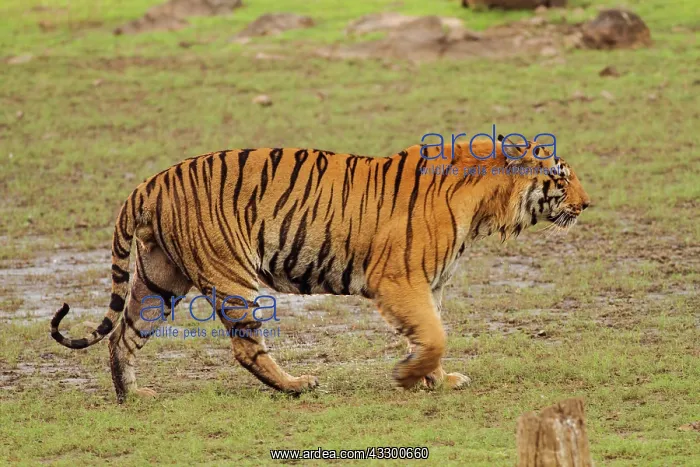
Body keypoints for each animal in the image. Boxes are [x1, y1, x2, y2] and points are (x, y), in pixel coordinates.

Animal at [51, 135, 590, 403]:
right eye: (561, 177)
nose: (587, 204)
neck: (485, 206)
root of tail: (148, 183)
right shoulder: (399, 281)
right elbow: (434, 335)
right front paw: (409, 378)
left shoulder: (428, 285)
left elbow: (431, 335)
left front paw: (437, 380)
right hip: (232, 276)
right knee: (246, 348)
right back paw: (296, 386)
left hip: (159, 280)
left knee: (123, 337)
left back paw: (134, 396)